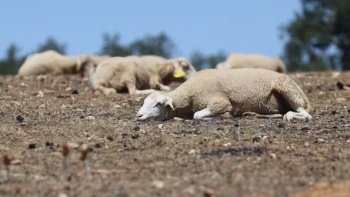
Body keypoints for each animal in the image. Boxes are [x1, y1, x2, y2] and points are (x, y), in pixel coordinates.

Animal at [136, 68, 312, 122]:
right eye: (144, 102)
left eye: (158, 104)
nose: (138, 116)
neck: (189, 94)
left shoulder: (219, 102)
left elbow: (198, 115)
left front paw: (224, 116)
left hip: (288, 90)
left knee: (305, 114)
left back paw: (291, 116)